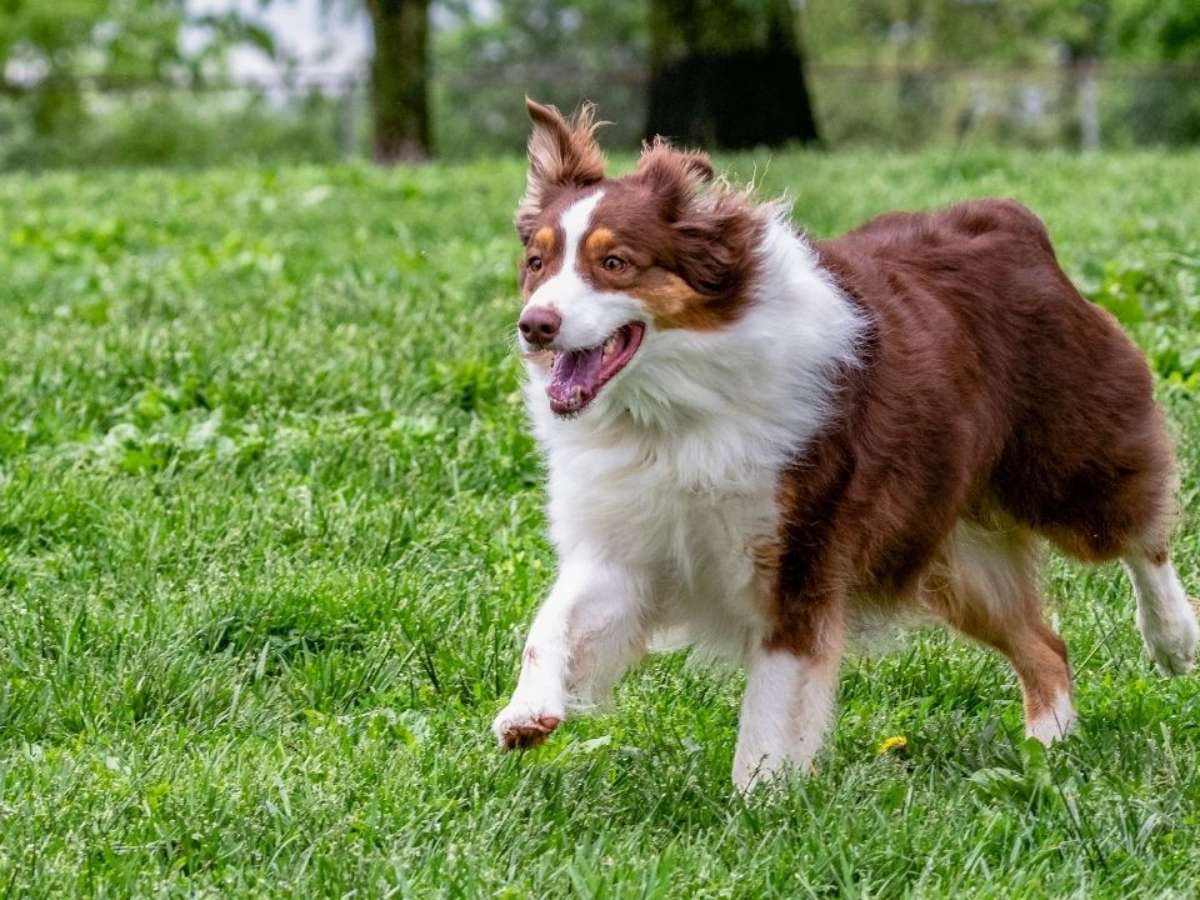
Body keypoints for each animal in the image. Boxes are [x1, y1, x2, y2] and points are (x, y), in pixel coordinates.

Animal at [492, 99, 1199, 789]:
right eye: (537, 263)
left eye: (614, 264)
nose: (535, 325)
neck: (673, 412)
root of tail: (1009, 220)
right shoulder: (630, 546)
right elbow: (550, 625)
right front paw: (527, 711)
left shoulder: (800, 560)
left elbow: (770, 712)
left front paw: (760, 804)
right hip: (950, 551)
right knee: (1047, 647)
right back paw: (1046, 750)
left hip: (1064, 461)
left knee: (1138, 532)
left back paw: (1173, 639)